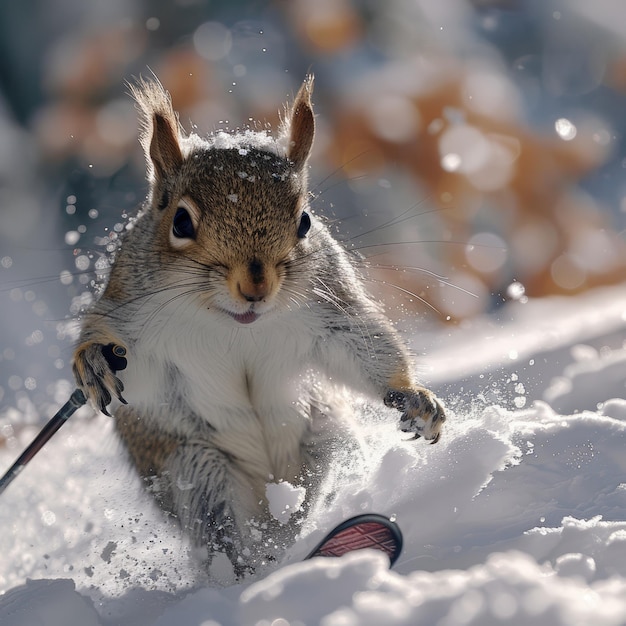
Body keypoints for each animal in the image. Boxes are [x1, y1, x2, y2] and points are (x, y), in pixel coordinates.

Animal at [72, 74, 444, 576]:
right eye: (180, 221)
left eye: (304, 221)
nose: (255, 287)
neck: (235, 323)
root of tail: (272, 509)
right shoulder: (134, 323)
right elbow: (137, 372)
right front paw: (93, 360)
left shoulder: (330, 310)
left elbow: (360, 346)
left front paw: (414, 397)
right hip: (200, 474)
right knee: (227, 533)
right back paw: (254, 571)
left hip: (326, 434)